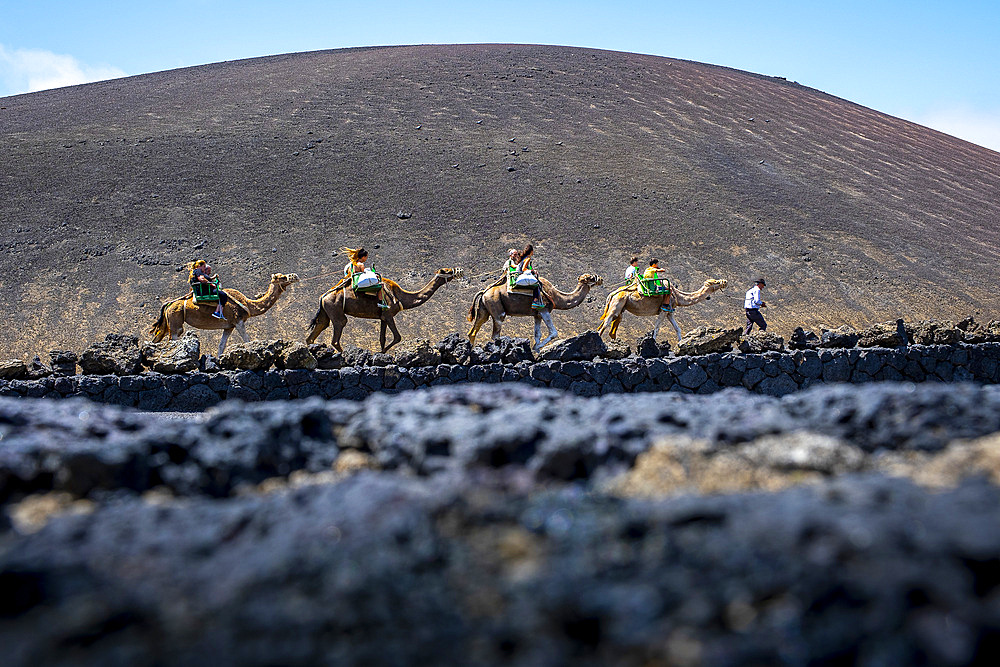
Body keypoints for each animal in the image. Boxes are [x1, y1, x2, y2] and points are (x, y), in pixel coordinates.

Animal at [146, 272, 298, 358]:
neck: (248, 304)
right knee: (174, 338)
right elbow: (247, 340)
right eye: (282, 277)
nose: (295, 276)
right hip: (175, 320)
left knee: (157, 337)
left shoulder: (229, 326)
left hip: (168, 321)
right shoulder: (238, 321)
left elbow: (221, 345)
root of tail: (168, 305)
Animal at [304, 268, 464, 354]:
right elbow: (398, 337)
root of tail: (323, 297)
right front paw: (382, 352)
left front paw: (381, 353)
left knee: (318, 329)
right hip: (335, 309)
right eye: (448, 271)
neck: (401, 298)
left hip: (326, 311)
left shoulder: (382, 317)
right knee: (338, 332)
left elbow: (382, 338)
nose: (459, 271)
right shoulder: (388, 314)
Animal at [466, 274, 604, 352]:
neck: (556, 296)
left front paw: (536, 352)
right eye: (592, 278)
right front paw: (536, 348)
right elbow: (553, 332)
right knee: (496, 333)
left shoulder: (537, 315)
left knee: (473, 330)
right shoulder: (544, 310)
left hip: (484, 309)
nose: (601, 279)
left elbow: (537, 334)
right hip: (496, 306)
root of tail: (484, 292)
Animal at [592, 278, 728, 342]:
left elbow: (677, 328)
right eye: (715, 282)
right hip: (617, 304)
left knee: (611, 324)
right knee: (606, 323)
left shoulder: (669, 312)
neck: (677, 296)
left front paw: (680, 344)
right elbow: (657, 328)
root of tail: (612, 294)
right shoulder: (663, 310)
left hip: (621, 307)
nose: (725, 281)